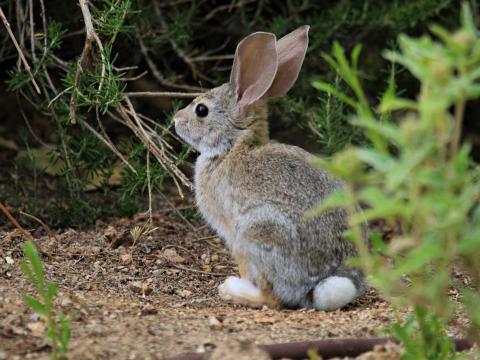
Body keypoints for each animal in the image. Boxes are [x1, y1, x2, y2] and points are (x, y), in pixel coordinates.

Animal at [174, 26, 366, 312]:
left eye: (201, 110)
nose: (175, 120)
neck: (232, 147)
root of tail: (329, 281)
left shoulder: (234, 234)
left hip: (259, 231)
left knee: (273, 298)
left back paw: (232, 289)